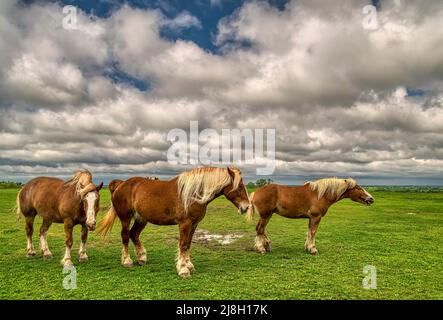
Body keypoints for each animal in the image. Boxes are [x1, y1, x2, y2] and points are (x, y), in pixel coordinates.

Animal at [96, 168, 250, 278]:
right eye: (239, 186)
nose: (246, 207)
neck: (193, 193)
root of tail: (121, 184)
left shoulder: (194, 224)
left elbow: (188, 244)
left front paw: (189, 265)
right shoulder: (185, 224)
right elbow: (183, 245)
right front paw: (183, 269)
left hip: (141, 219)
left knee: (134, 234)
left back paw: (142, 258)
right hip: (125, 218)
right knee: (125, 236)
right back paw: (127, 261)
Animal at [246, 178, 374, 255]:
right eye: (358, 188)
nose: (371, 199)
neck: (320, 194)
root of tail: (256, 192)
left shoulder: (311, 218)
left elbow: (309, 232)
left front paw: (308, 247)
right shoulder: (316, 217)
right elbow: (313, 232)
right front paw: (313, 249)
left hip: (268, 215)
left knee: (262, 230)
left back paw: (266, 245)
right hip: (265, 215)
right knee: (259, 229)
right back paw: (261, 248)